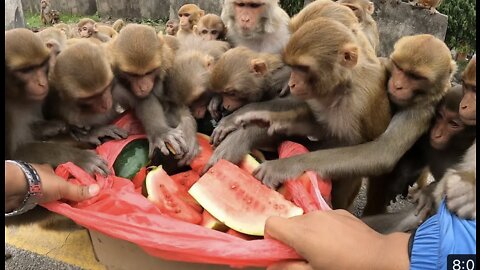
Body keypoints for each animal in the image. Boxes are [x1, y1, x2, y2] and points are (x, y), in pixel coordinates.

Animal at [108, 24, 198, 165]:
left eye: (149, 72)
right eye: (133, 75)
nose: (143, 87)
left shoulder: (168, 69)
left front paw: (186, 129)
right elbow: (143, 100)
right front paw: (160, 132)